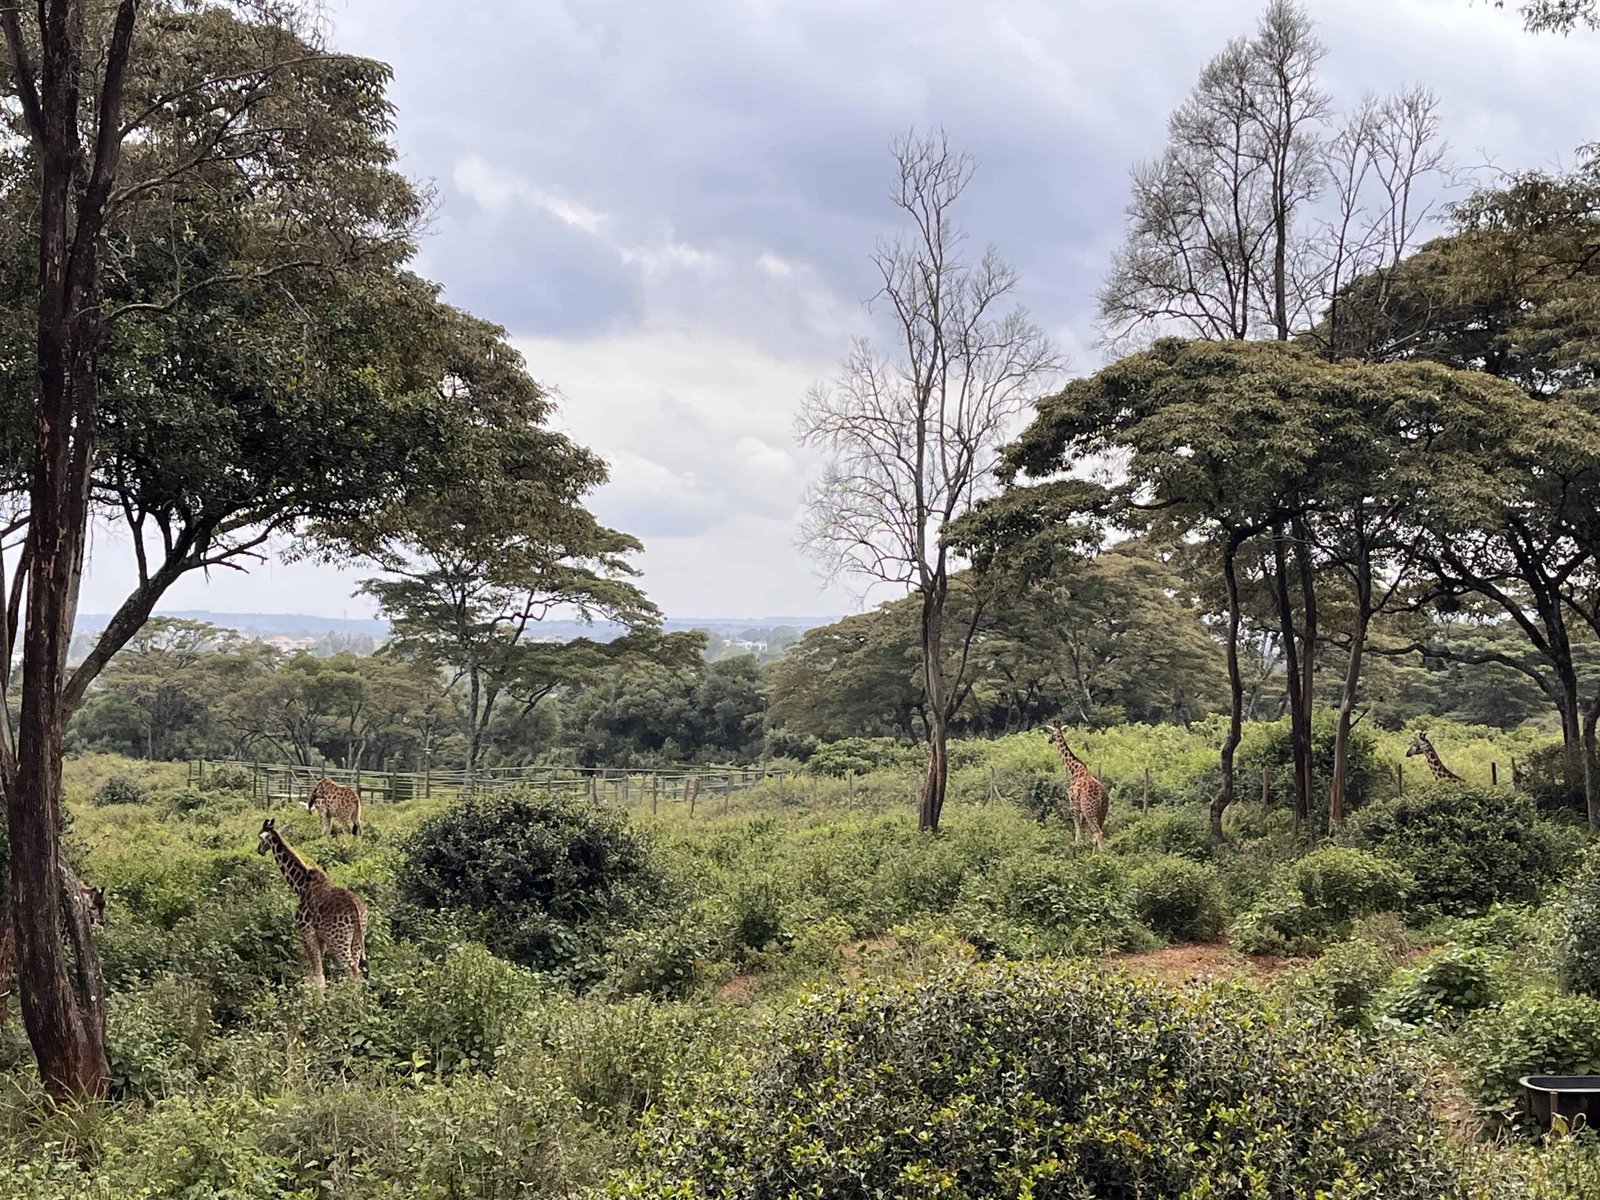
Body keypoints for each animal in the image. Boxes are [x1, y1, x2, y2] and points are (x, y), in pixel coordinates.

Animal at [256, 818, 368, 989]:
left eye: (260, 838)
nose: (259, 850)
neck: (301, 885)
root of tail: (357, 911)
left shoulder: (307, 932)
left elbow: (317, 976)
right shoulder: (322, 938)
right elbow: (315, 974)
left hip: (339, 941)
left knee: (352, 971)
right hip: (357, 938)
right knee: (357, 970)